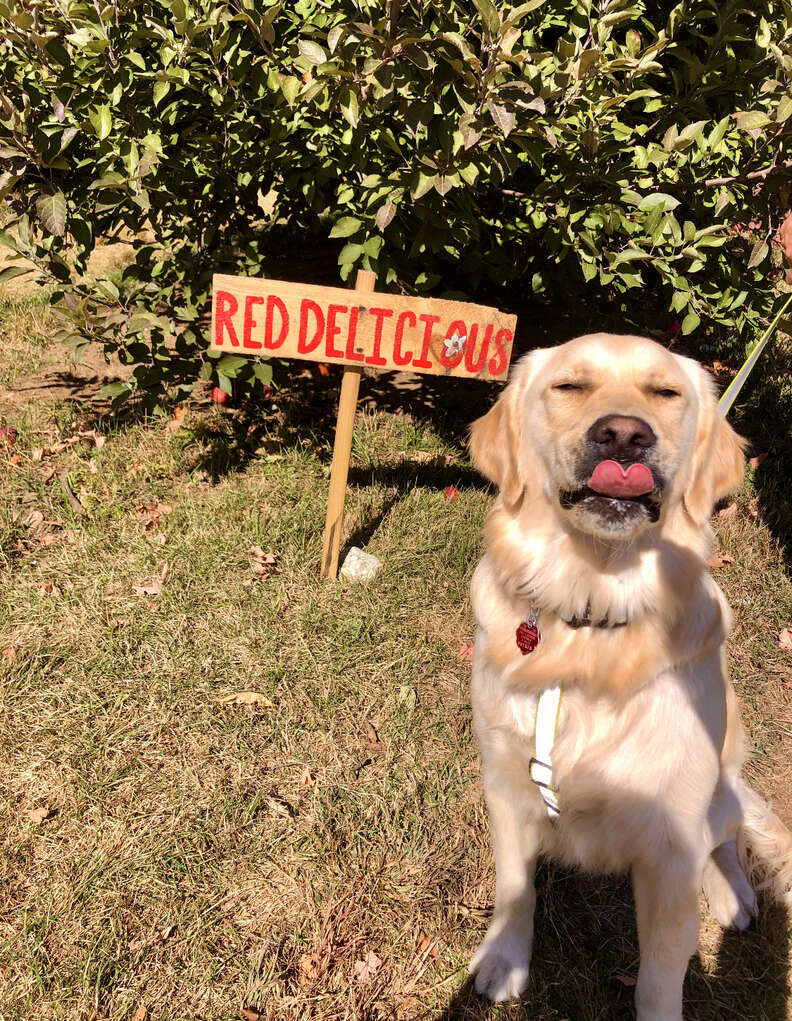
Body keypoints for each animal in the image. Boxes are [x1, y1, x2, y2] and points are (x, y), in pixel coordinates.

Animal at [467, 334, 787, 1021]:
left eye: (664, 393)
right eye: (569, 386)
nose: (623, 435)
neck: (592, 609)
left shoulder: (672, 841)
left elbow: (660, 976)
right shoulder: (505, 783)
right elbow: (515, 886)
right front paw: (504, 958)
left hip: (719, 785)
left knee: (726, 836)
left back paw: (733, 894)